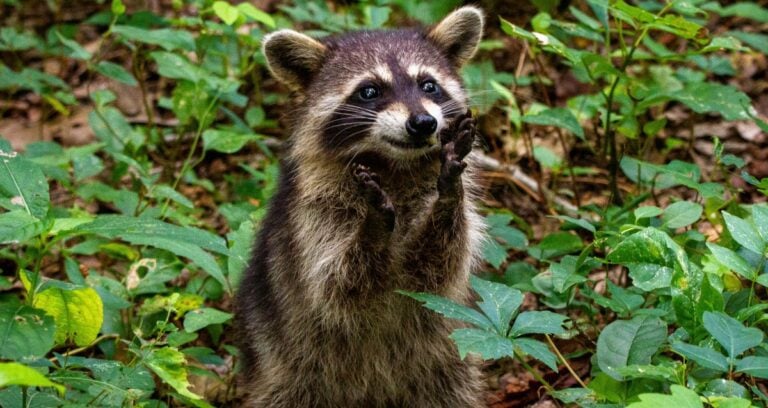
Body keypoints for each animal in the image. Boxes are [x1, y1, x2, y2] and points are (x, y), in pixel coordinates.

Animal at [234, 6, 486, 407]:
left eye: (428, 85)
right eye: (369, 91)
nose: (423, 123)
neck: (394, 165)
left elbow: (440, 267)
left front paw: (448, 195)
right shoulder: (312, 215)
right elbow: (336, 285)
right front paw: (373, 226)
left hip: (445, 368)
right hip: (287, 370)